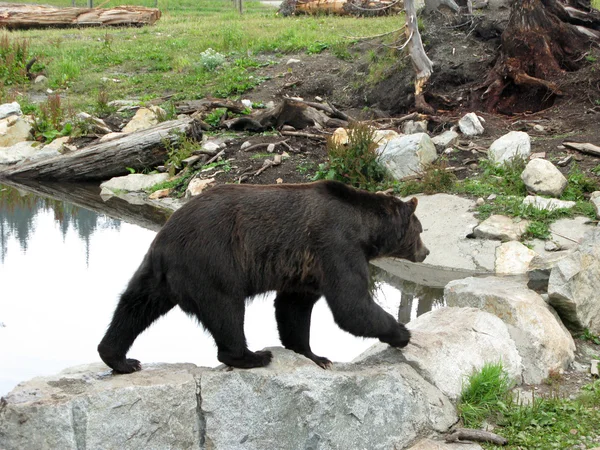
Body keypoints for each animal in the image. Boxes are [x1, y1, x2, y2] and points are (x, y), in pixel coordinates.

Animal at [97, 179, 426, 372]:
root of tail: (166, 239)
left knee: (134, 306)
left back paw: (119, 358)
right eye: (421, 230)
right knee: (226, 310)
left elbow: (293, 308)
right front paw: (401, 333)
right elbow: (351, 305)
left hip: (157, 272)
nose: (426, 252)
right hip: (213, 262)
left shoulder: (306, 269)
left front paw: (313, 354)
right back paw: (251, 356)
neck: (366, 229)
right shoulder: (336, 245)